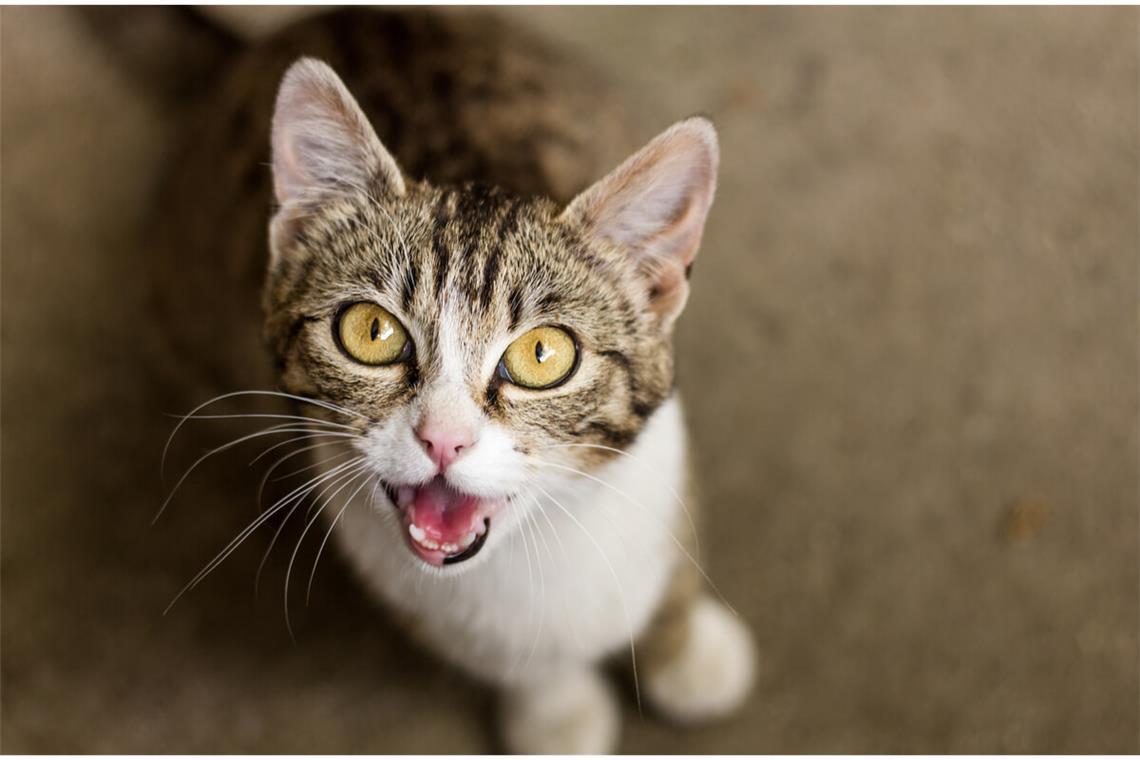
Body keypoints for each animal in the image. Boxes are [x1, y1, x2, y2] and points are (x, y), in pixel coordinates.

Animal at [158, 8, 756, 752]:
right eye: (371, 332)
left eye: (543, 355)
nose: (444, 439)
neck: (534, 548)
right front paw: (555, 711)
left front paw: (685, 651)